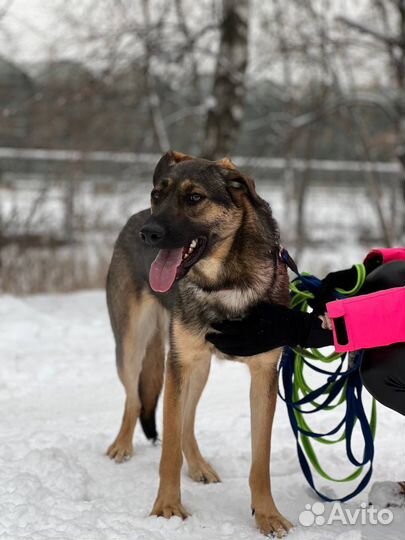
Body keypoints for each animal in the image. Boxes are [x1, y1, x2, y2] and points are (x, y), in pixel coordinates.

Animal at [105, 151, 292, 536]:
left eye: (194, 198)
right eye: (157, 194)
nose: (149, 234)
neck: (224, 282)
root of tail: (135, 217)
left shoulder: (263, 374)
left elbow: (260, 460)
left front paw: (267, 514)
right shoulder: (177, 364)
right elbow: (168, 451)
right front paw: (166, 507)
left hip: (198, 366)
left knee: (187, 419)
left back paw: (198, 465)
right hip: (133, 345)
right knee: (134, 399)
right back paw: (122, 445)